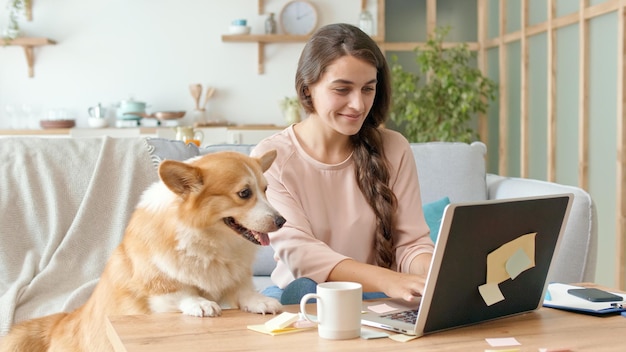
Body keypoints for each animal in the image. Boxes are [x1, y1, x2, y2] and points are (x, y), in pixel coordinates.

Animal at [1, 150, 284, 350]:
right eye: (244, 193)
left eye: (266, 190)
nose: (282, 220)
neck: (210, 240)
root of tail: (61, 321)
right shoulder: (152, 291)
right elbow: (180, 292)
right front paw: (201, 303)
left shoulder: (234, 277)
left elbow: (243, 291)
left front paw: (261, 301)